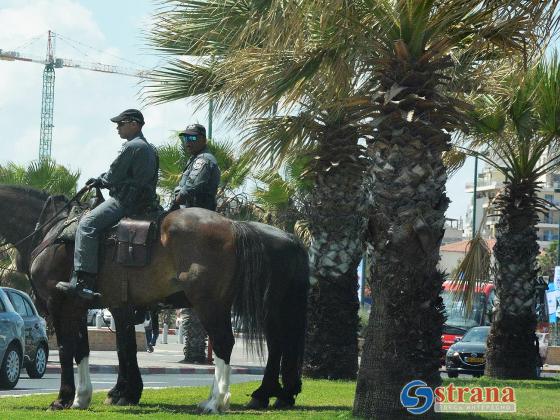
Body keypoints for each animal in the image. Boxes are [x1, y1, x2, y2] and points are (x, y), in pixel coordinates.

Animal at [0, 185, 308, 412]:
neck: (51, 232)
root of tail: (234, 227)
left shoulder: (61, 304)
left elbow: (71, 350)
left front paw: (66, 398)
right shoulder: (87, 305)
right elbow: (91, 350)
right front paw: (87, 397)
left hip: (214, 304)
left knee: (230, 343)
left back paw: (218, 401)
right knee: (277, 343)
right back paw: (272, 394)